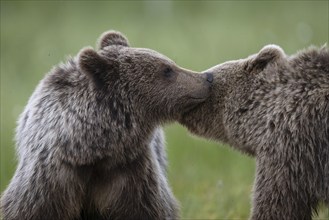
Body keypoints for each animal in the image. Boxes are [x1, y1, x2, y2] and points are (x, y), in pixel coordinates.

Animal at [0, 30, 213, 219]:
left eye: (171, 64)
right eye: (167, 70)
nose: (206, 78)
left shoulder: (130, 172)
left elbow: (146, 210)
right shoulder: (52, 177)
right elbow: (32, 209)